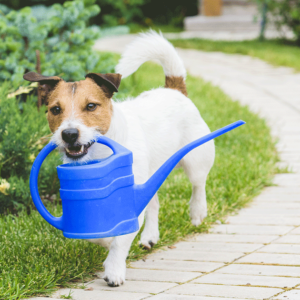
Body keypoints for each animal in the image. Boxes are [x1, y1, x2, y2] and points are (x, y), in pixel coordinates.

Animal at [24, 31, 216, 288]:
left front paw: (114, 269)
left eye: (91, 106)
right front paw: (107, 241)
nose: (69, 134)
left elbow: (120, 240)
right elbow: (104, 234)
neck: (99, 155)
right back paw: (150, 236)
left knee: (198, 184)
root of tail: (174, 89)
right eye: (55, 109)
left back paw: (197, 212)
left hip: (196, 159)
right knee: (154, 203)